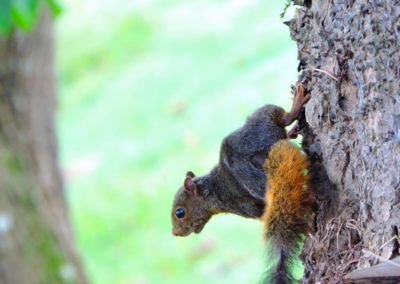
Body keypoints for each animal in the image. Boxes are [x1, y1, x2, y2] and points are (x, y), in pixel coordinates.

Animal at [170, 81, 310, 235]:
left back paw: (297, 102)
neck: (213, 191)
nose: (175, 233)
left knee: (286, 117)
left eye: (180, 213)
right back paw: (292, 130)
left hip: (262, 115)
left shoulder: (246, 209)